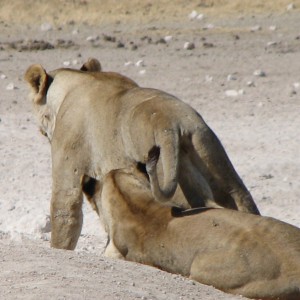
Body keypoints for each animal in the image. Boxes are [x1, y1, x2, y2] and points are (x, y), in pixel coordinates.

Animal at [25, 58, 258, 248]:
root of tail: (170, 124)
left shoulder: (69, 160)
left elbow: (65, 214)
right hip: (213, 156)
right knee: (241, 199)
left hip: (172, 182)